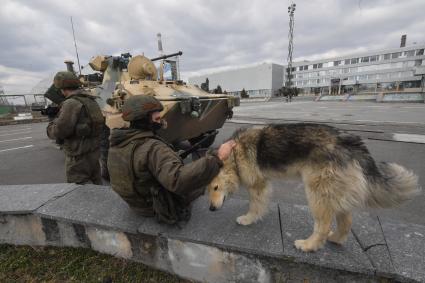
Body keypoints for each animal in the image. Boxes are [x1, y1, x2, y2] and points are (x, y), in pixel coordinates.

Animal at [207, 124, 420, 253]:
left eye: (216, 187)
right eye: (207, 190)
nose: (211, 209)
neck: (235, 153)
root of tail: (348, 141)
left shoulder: (258, 185)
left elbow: (255, 206)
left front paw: (248, 219)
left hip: (316, 192)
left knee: (323, 225)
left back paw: (309, 245)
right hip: (333, 190)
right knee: (346, 219)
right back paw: (337, 239)